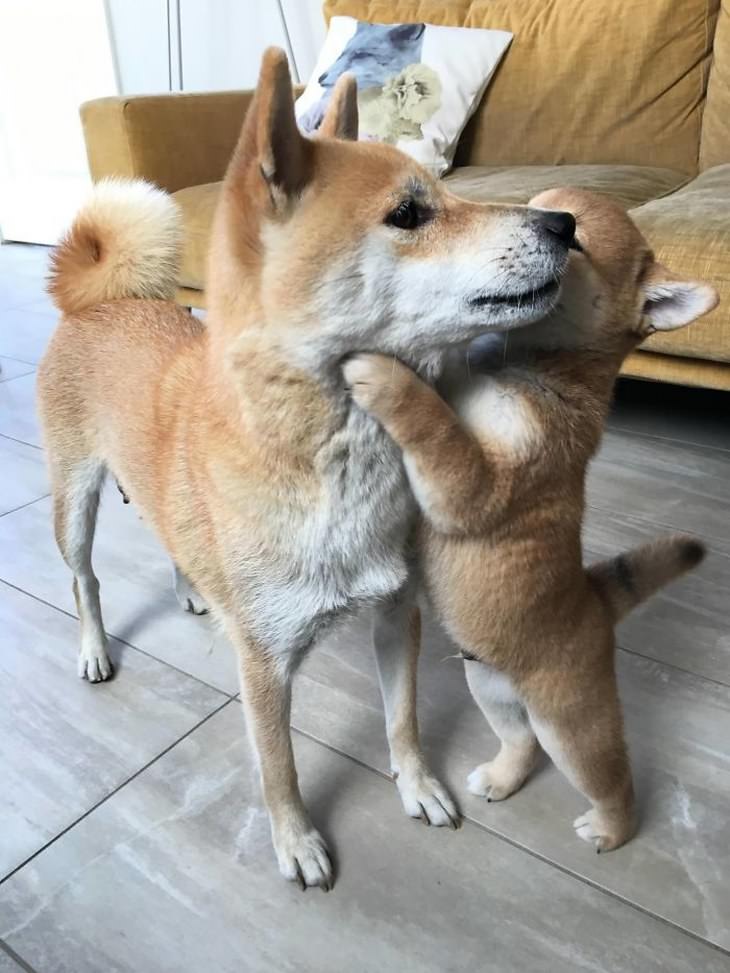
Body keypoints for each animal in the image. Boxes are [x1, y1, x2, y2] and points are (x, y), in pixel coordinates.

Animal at [344, 188, 712, 852]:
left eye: (578, 237)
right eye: (538, 206)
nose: (553, 222)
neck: (528, 367)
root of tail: (595, 600)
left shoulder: (472, 486)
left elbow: (429, 421)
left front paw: (385, 374)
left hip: (573, 725)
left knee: (613, 781)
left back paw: (609, 831)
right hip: (491, 691)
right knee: (523, 744)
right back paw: (501, 777)